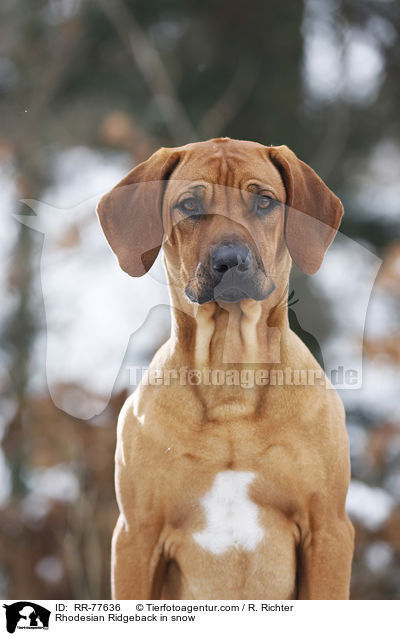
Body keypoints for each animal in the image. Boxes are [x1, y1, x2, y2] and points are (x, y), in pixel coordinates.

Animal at [98, 137, 354, 600]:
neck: (230, 376)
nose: (230, 261)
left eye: (264, 201)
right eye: (190, 205)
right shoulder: (136, 535)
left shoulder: (327, 529)